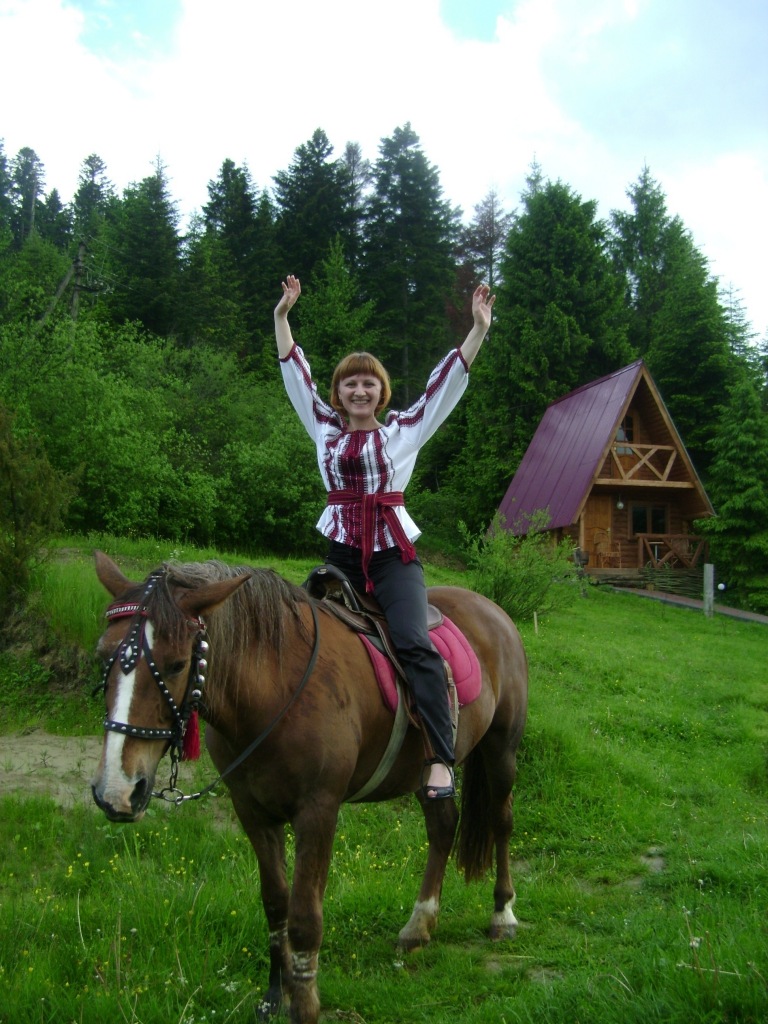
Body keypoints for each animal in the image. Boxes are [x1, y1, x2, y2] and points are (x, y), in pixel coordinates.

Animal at [91, 550, 528, 1024]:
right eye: (103, 657)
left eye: (175, 664)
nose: (116, 790)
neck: (275, 687)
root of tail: (492, 610)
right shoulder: (252, 811)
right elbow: (275, 904)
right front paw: (275, 994)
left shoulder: (318, 811)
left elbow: (304, 917)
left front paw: (303, 1005)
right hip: (426, 774)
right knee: (443, 827)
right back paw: (419, 925)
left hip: (502, 751)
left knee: (501, 822)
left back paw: (503, 914)